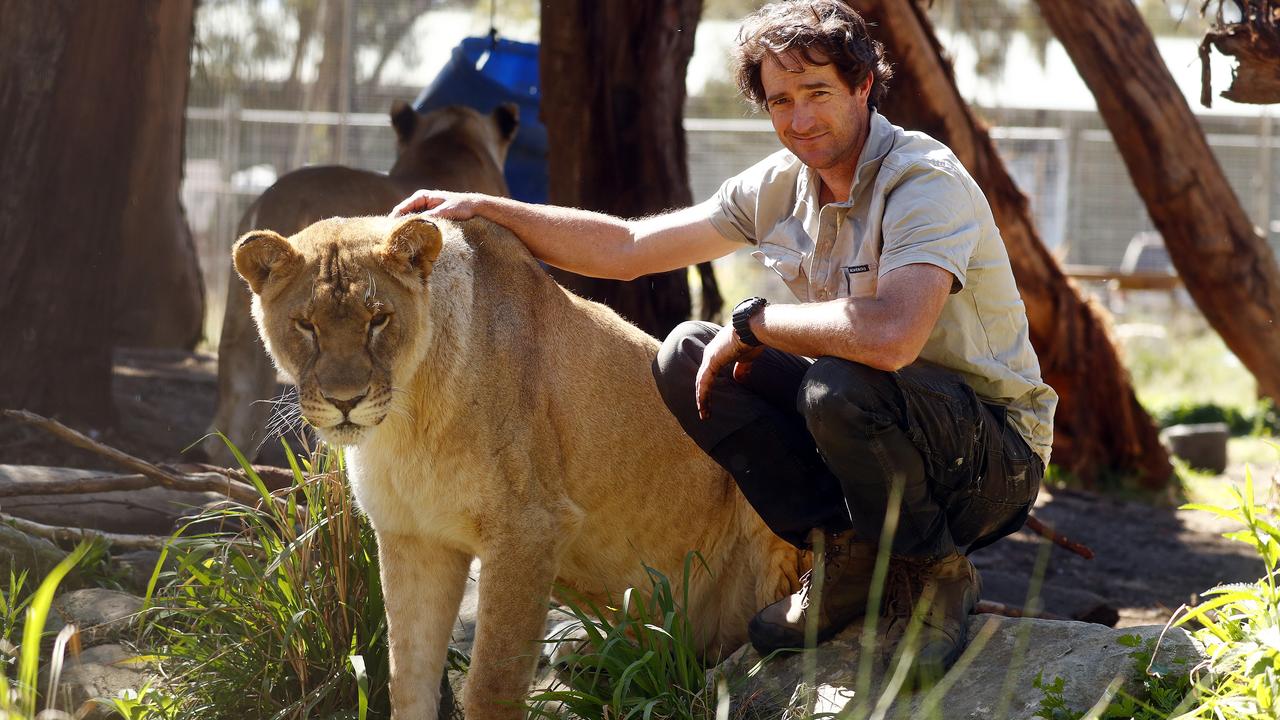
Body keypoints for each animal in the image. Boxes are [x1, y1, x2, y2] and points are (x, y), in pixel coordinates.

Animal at [232, 213, 798, 717]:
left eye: (379, 320)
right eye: (305, 324)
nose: (345, 400)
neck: (404, 424)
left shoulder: (528, 528)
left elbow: (492, 685)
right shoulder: (412, 537)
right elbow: (406, 679)